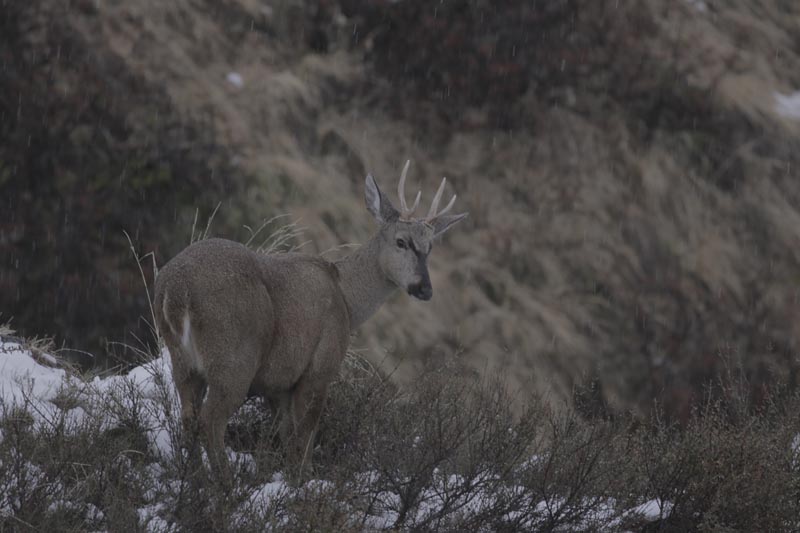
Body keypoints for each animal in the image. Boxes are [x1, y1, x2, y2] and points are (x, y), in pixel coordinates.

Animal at [153, 161, 467, 478]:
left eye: (430, 248)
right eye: (401, 242)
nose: (425, 288)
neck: (347, 298)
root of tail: (175, 290)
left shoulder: (280, 383)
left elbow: (286, 435)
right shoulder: (320, 365)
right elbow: (304, 438)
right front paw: (305, 481)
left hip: (183, 362)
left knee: (188, 418)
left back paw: (194, 481)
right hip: (233, 357)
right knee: (211, 421)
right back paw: (225, 484)